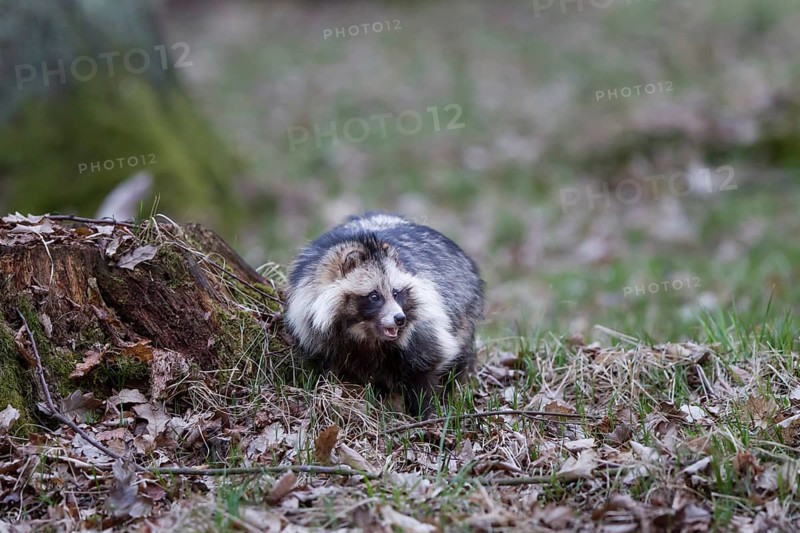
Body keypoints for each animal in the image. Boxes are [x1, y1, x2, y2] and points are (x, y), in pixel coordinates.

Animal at [285, 212, 484, 416]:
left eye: (396, 293)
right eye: (374, 296)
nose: (400, 319)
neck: (366, 334)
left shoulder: (424, 327)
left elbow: (425, 364)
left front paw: (424, 409)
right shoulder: (316, 331)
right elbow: (328, 368)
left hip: (465, 309)